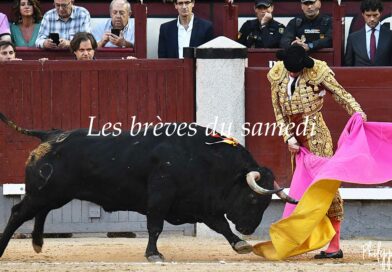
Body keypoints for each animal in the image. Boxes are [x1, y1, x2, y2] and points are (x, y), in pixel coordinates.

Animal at [0, 112, 296, 262]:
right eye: (254, 200)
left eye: (265, 203)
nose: (249, 229)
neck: (203, 158)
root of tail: (49, 135)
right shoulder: (160, 196)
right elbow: (155, 226)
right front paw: (154, 254)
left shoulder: (201, 203)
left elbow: (221, 225)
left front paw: (240, 244)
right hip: (44, 192)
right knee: (18, 213)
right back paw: (4, 248)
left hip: (53, 193)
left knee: (40, 212)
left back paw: (38, 244)